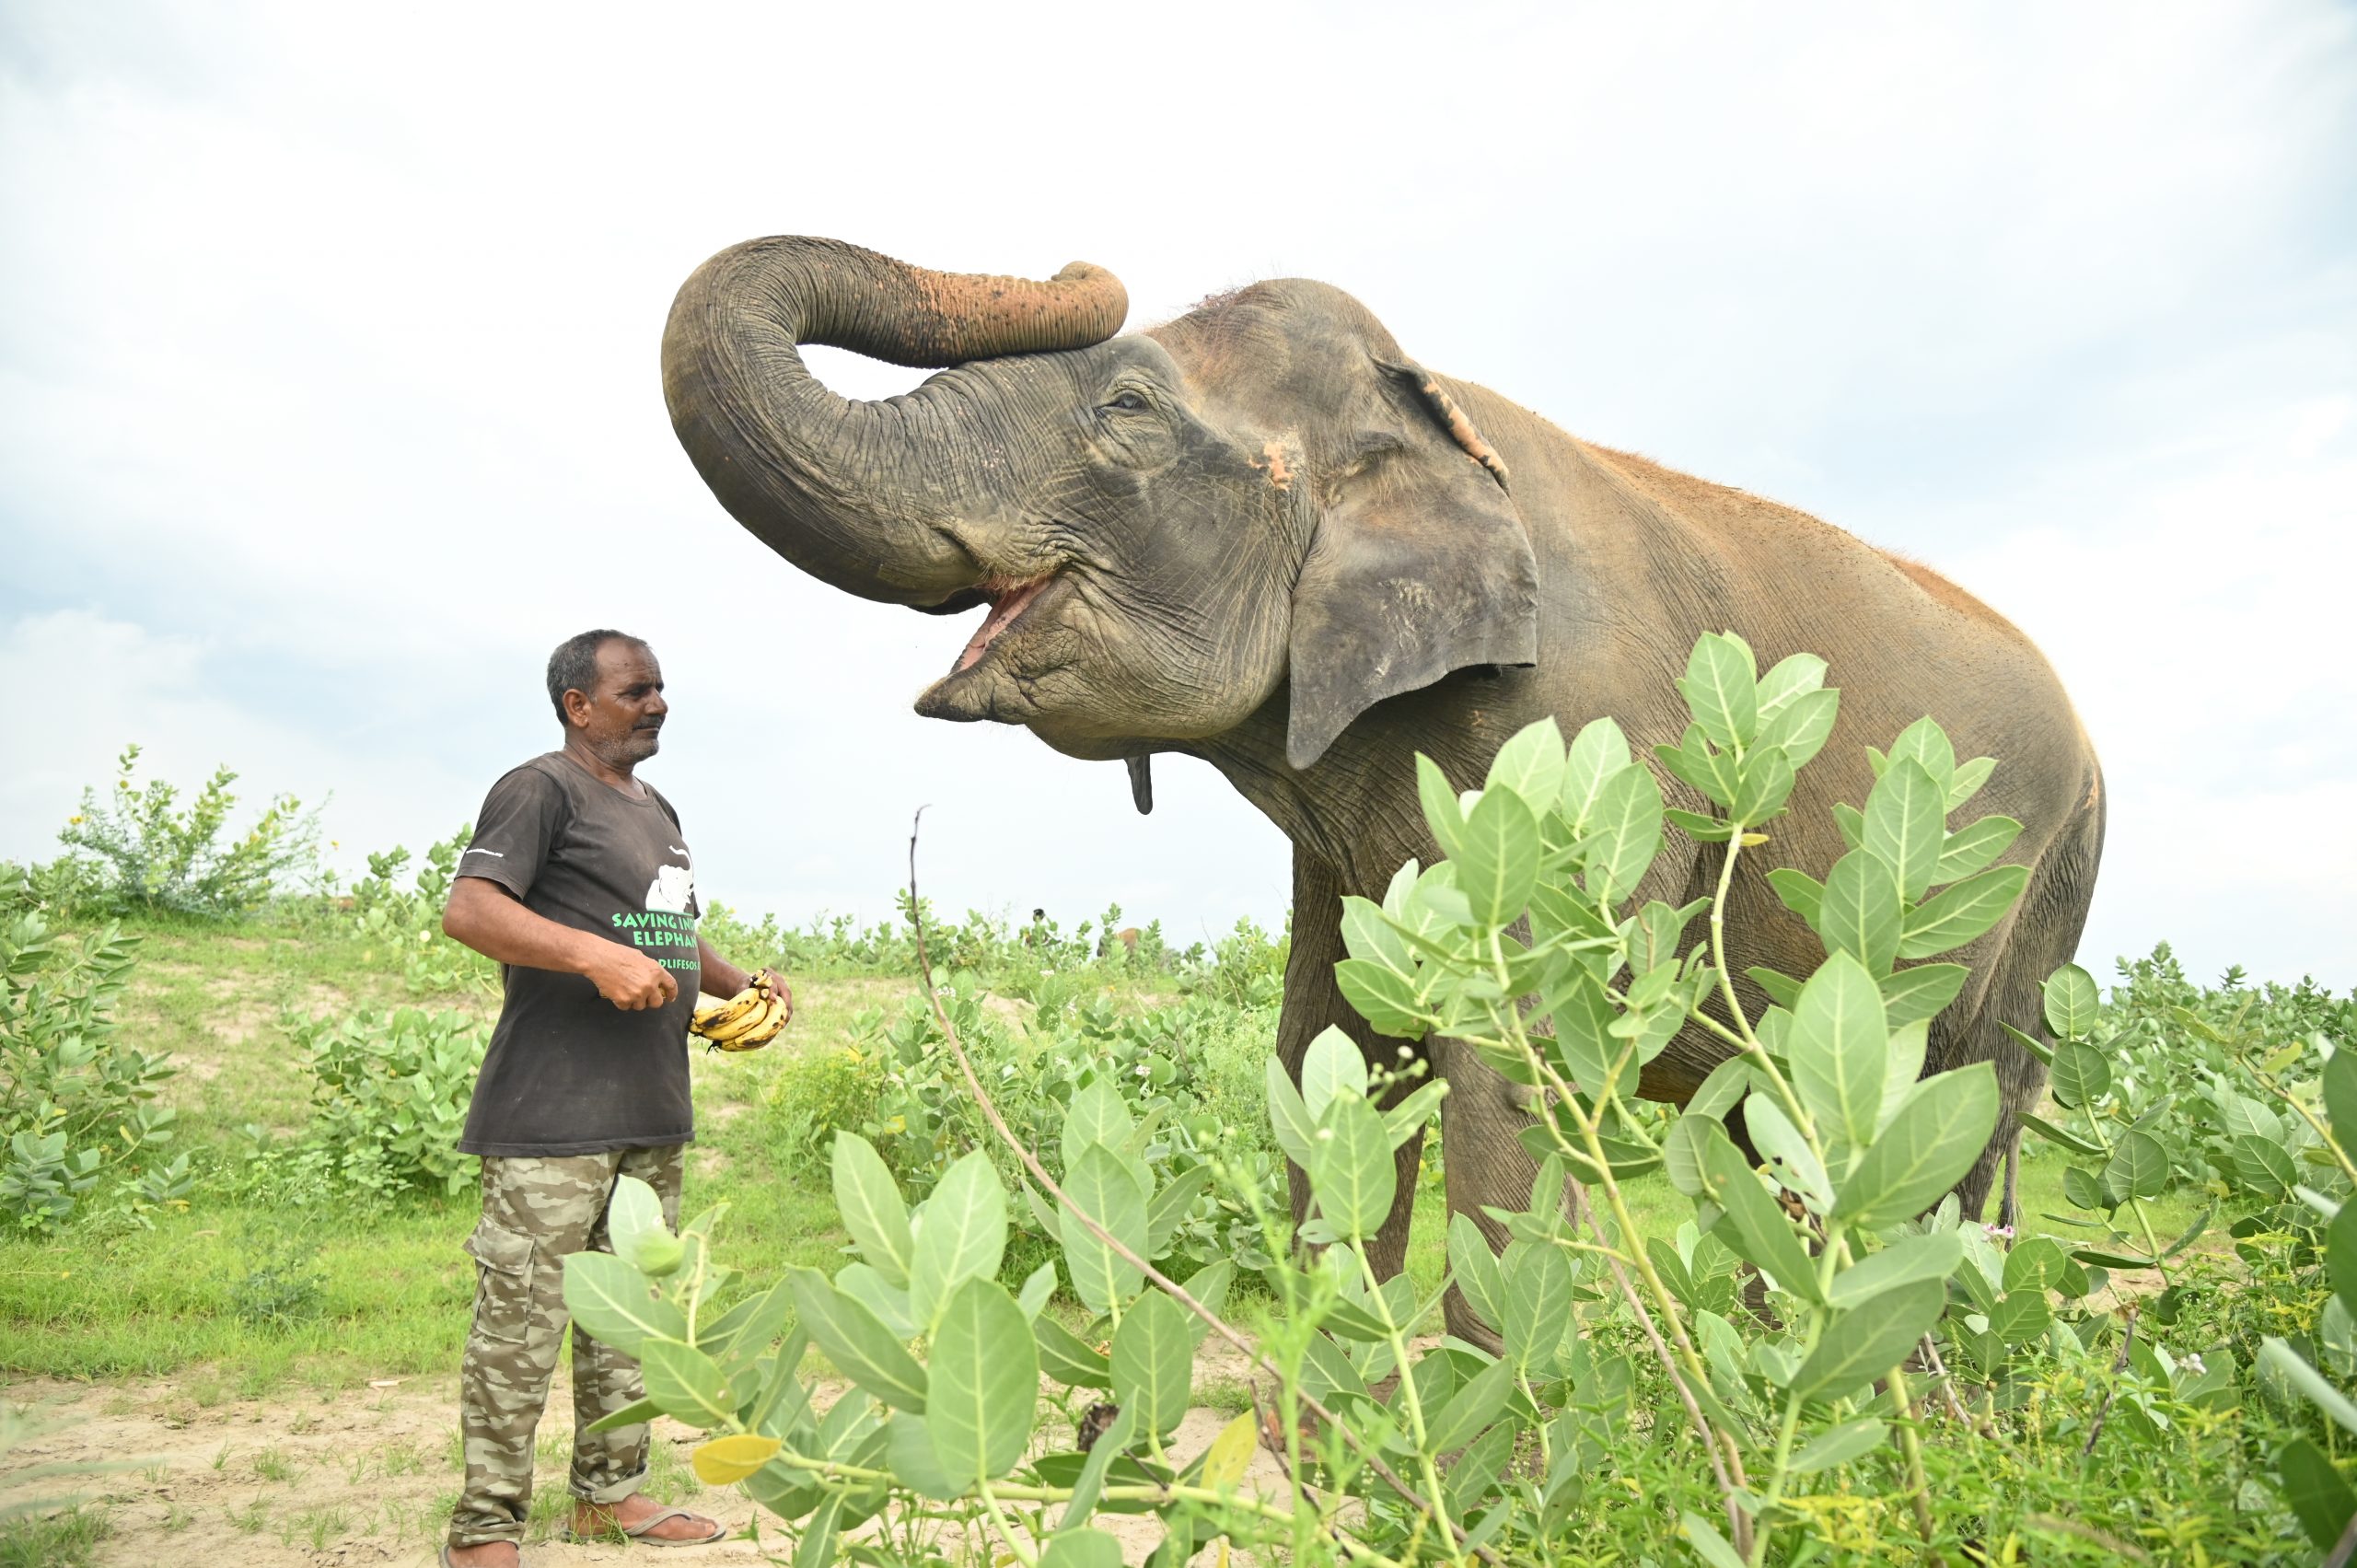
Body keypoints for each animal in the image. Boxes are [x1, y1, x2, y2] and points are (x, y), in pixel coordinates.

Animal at [660, 237, 2104, 1341]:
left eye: (1127, 410)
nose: (1081, 270)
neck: (1430, 417)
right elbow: (1330, 1050)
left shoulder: (1589, 747)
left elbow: (1519, 1077)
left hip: (2050, 895)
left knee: (1961, 1134)